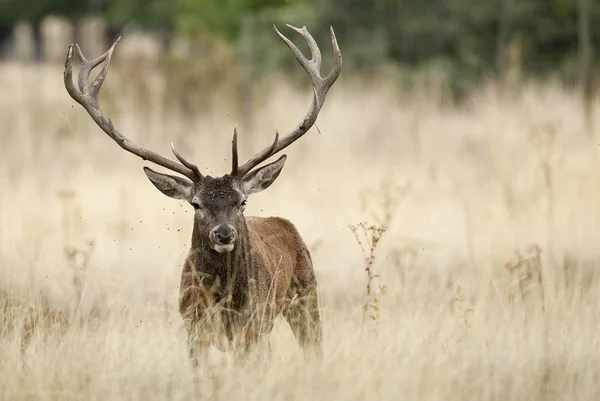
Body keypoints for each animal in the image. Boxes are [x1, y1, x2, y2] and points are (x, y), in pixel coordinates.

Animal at [63, 23, 342, 364]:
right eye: (196, 204)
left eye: (242, 201)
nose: (224, 233)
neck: (223, 300)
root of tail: (284, 224)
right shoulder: (194, 325)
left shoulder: (251, 324)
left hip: (306, 294)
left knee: (312, 346)